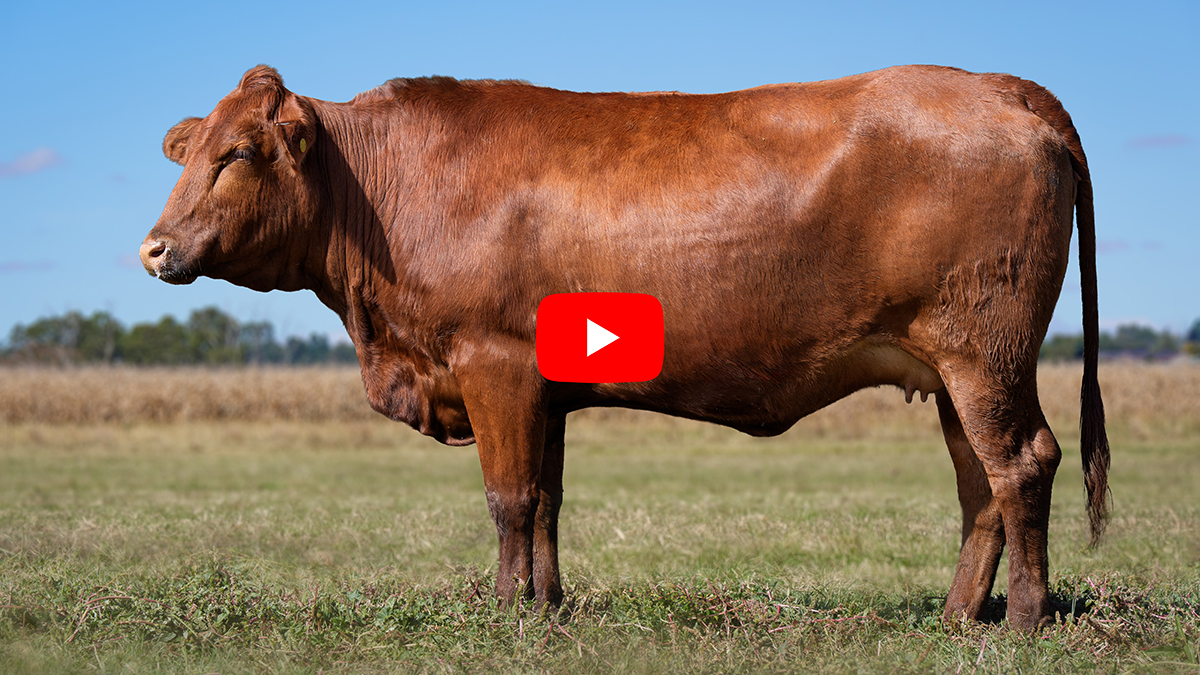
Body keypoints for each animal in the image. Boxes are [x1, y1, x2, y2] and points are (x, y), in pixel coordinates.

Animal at [140, 64, 1110, 630]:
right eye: (187, 153)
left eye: (237, 153)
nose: (155, 247)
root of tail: (1001, 86)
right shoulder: (544, 388)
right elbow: (547, 501)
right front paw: (549, 605)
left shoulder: (495, 365)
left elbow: (508, 498)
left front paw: (507, 613)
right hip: (949, 368)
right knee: (979, 483)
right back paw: (956, 616)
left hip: (985, 354)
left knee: (1022, 462)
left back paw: (1023, 619)